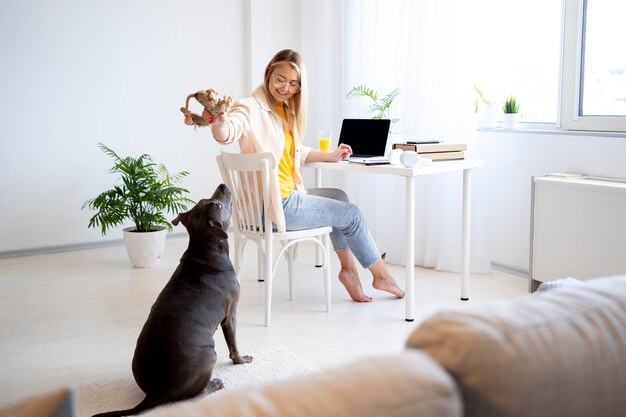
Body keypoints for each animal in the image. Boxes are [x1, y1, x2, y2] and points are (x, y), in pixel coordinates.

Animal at [92, 185, 249, 416]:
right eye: (217, 205)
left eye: (206, 200)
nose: (222, 185)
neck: (205, 249)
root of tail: (157, 392)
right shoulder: (231, 315)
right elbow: (234, 344)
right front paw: (242, 360)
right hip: (209, 354)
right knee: (196, 396)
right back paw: (215, 384)